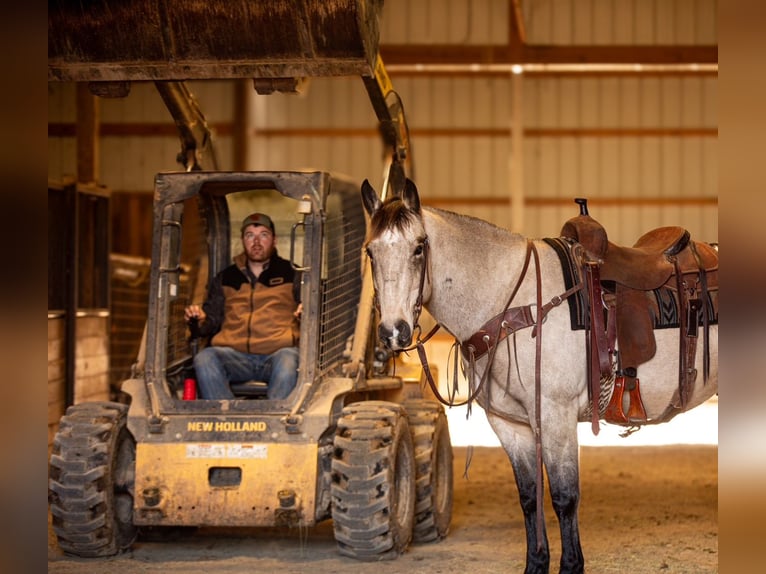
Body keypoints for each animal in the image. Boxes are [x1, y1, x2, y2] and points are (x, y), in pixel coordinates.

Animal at [360, 178, 718, 574]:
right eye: (370, 252)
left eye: (419, 247)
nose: (394, 332)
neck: (518, 305)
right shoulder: (510, 424)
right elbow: (529, 497)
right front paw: (536, 563)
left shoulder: (555, 416)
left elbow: (564, 497)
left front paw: (571, 565)